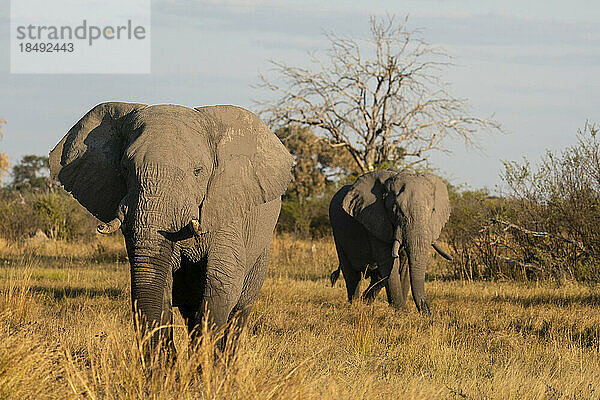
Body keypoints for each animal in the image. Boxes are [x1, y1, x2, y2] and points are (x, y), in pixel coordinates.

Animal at [49, 103, 292, 354]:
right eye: (125, 168)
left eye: (198, 171)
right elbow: (161, 281)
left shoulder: (227, 213)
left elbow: (221, 283)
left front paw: (204, 363)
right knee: (189, 309)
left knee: (239, 310)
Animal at [328, 170, 450, 314]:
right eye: (396, 209)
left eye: (432, 210)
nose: (429, 314)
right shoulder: (376, 221)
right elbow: (389, 262)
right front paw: (401, 311)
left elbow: (404, 265)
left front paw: (401, 311)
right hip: (338, 234)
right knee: (351, 274)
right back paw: (356, 304)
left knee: (377, 276)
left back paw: (366, 301)